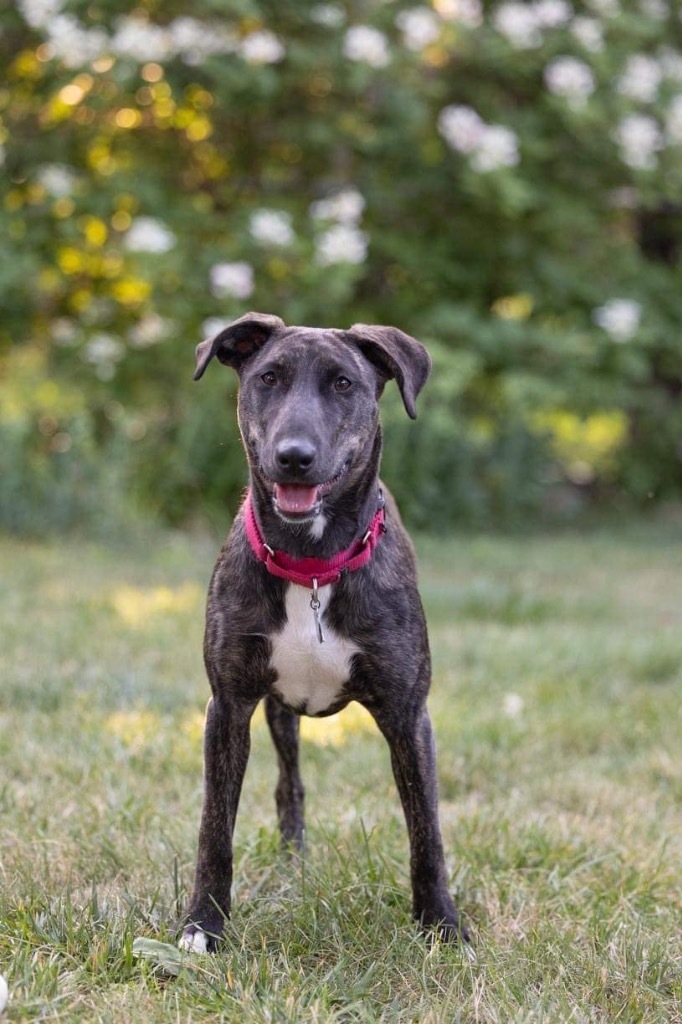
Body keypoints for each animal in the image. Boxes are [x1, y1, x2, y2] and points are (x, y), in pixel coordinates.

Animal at [179, 311, 466, 950]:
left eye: (343, 383)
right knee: (289, 781)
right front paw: (203, 926)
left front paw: (441, 923)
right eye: (269, 377)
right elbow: (215, 828)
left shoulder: (409, 714)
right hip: (277, 711)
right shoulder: (227, 706)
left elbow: (426, 831)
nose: (294, 456)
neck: (311, 564)